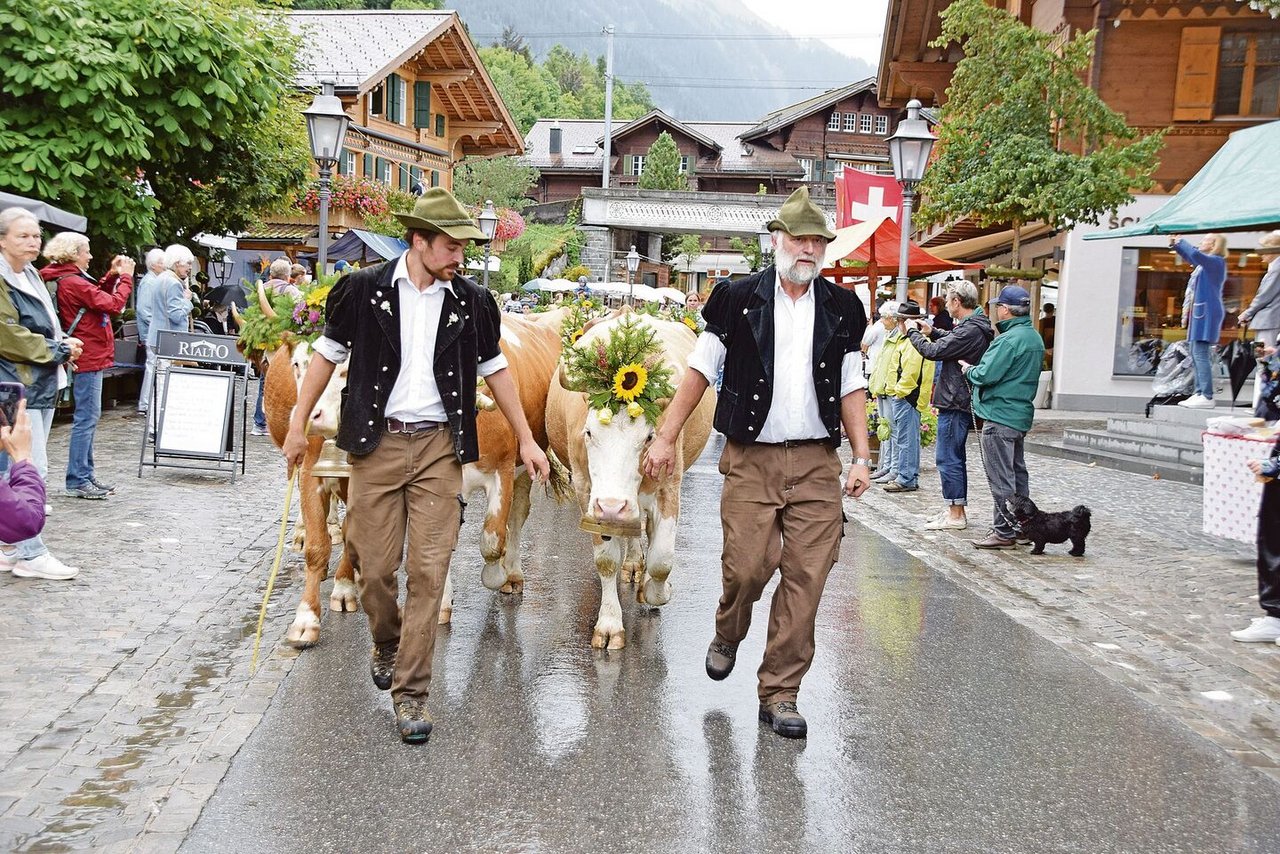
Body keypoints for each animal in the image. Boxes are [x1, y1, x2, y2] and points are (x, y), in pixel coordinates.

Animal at [545, 312, 716, 647]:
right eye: (588, 432)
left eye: (649, 437)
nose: (613, 506)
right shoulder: (587, 494)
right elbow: (606, 560)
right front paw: (610, 623)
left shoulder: (669, 487)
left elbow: (662, 559)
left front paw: (655, 591)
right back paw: (634, 562)